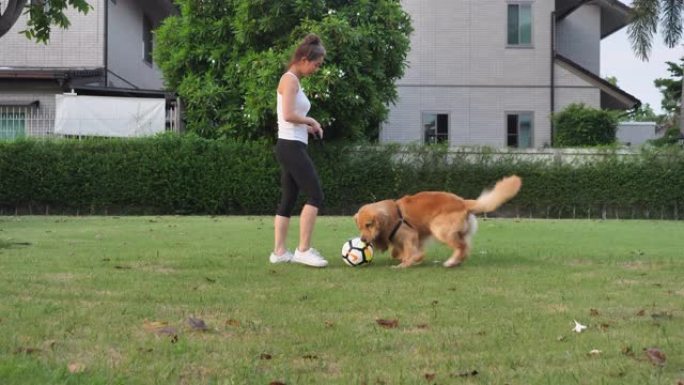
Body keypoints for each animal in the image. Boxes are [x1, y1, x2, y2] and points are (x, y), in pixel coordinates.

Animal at [356, 175, 520, 268]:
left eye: (369, 225)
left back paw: (451, 262)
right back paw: (456, 261)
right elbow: (397, 252)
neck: (394, 215)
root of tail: (463, 202)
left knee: (461, 246)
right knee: (465, 248)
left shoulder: (410, 235)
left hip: (438, 228)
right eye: (359, 227)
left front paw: (407, 262)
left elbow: (410, 252)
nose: (363, 240)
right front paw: (410, 258)